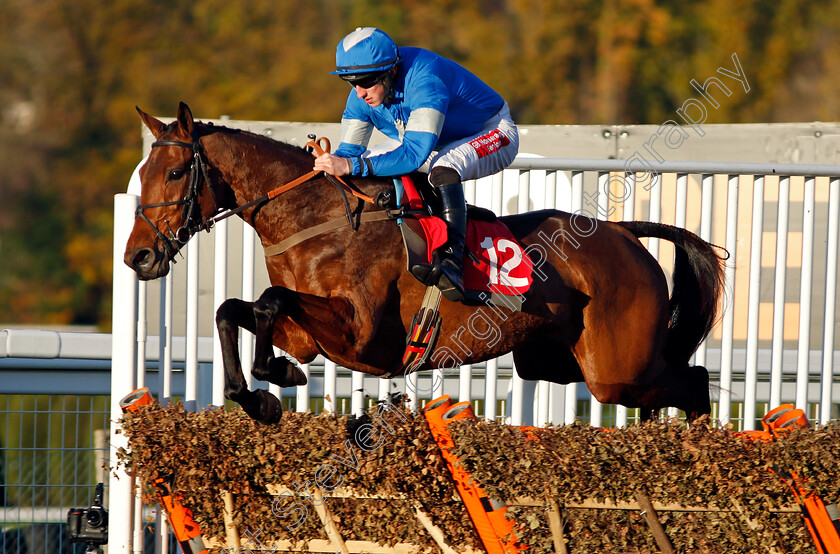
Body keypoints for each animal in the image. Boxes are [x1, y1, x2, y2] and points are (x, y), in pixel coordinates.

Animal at [121, 102, 724, 422]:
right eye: (144, 174)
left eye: (175, 173)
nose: (138, 256)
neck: (315, 219)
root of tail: (624, 234)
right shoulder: (307, 333)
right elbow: (232, 309)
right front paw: (260, 395)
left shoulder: (361, 336)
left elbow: (268, 300)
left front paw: (274, 378)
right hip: (556, 360)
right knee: (681, 379)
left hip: (616, 369)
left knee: (693, 380)